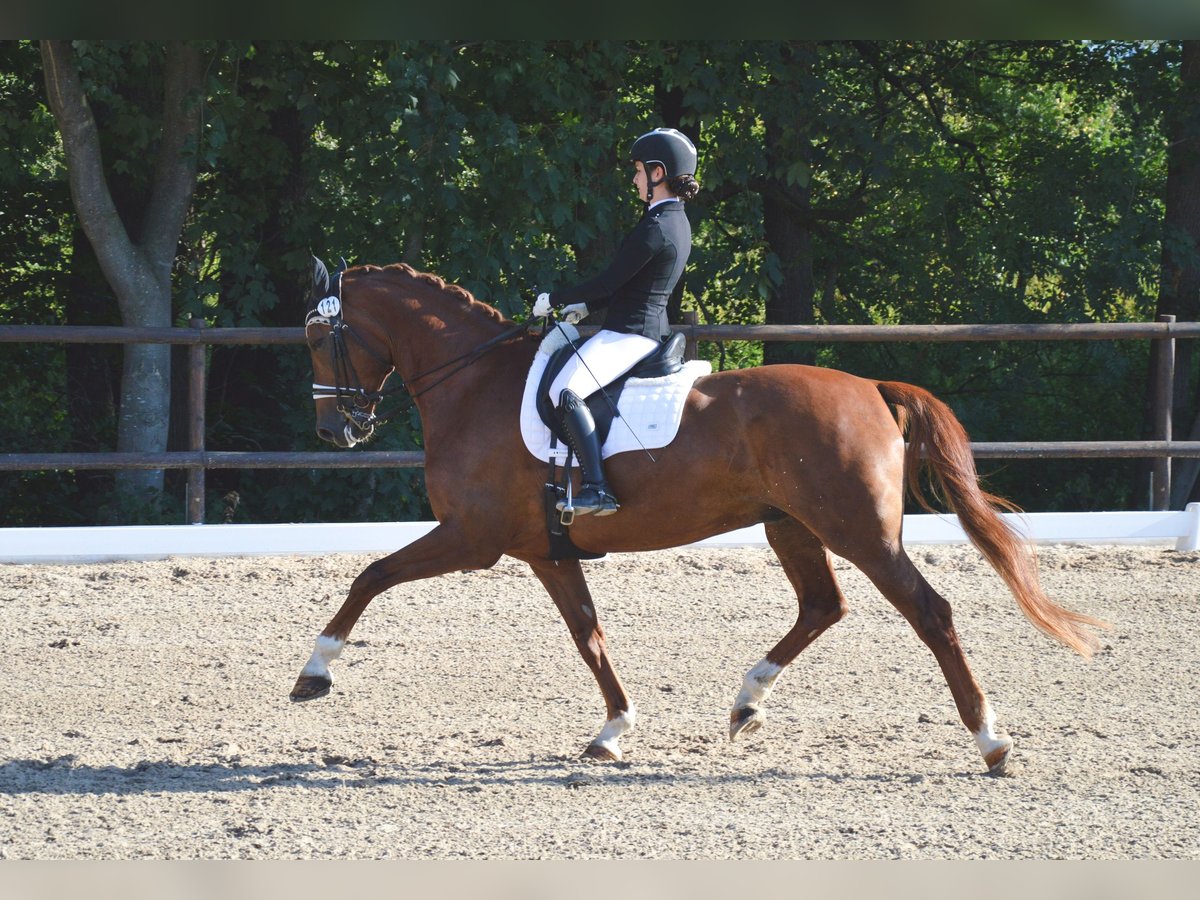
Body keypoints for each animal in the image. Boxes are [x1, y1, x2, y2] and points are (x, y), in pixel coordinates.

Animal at [290, 259, 1104, 777]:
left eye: (316, 337)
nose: (334, 431)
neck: (473, 381)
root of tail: (870, 386)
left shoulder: (473, 538)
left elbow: (370, 575)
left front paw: (313, 674)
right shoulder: (547, 552)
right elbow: (588, 635)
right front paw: (613, 732)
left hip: (859, 532)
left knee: (928, 612)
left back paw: (991, 743)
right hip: (791, 524)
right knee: (823, 605)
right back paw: (746, 704)